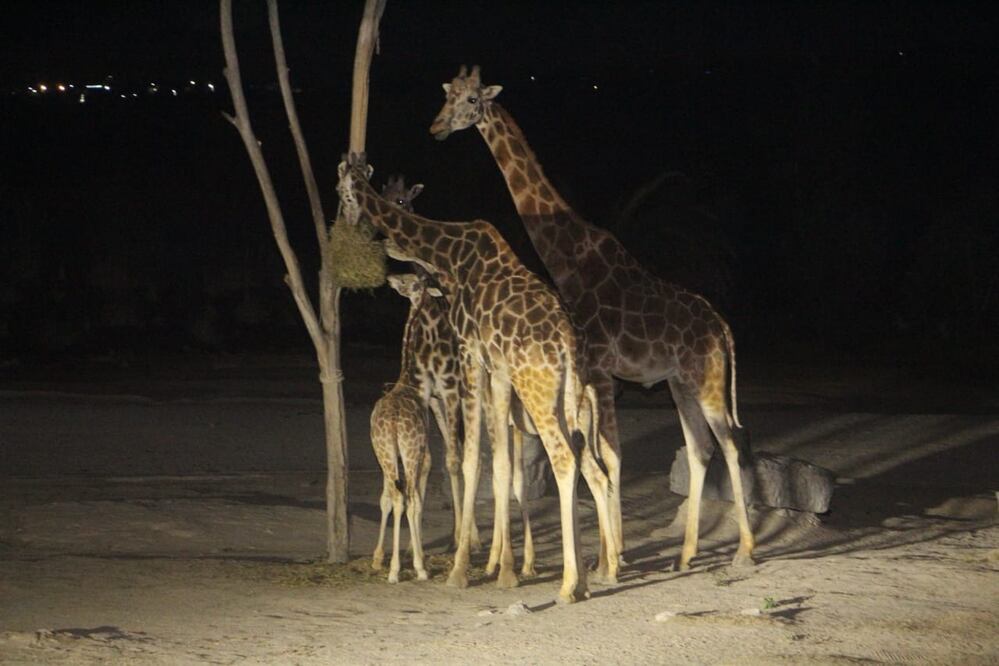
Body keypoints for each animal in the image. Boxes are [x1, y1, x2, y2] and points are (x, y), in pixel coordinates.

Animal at [337, 155, 616, 603]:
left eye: (343, 192)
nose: (353, 227)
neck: (452, 253)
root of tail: (570, 343)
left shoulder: (470, 356)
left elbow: (469, 460)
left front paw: (462, 568)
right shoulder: (495, 367)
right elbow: (498, 464)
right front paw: (503, 570)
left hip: (537, 392)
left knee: (564, 459)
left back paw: (570, 584)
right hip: (567, 399)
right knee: (591, 466)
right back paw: (594, 577)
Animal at [430, 65, 755, 571]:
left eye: (470, 100)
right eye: (446, 95)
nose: (437, 128)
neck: (569, 257)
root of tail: (724, 330)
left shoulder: (599, 368)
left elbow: (609, 454)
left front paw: (609, 560)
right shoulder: (593, 373)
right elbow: (602, 453)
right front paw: (611, 555)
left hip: (709, 381)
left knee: (732, 445)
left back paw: (744, 550)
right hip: (680, 383)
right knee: (702, 450)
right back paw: (685, 555)